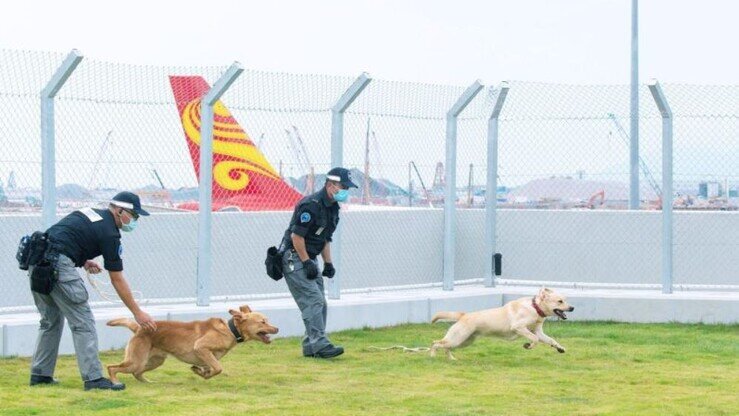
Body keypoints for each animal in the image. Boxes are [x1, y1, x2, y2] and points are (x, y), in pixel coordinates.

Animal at [430, 288, 576, 360]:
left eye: (565, 300)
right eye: (560, 301)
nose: (572, 307)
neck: (535, 308)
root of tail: (463, 315)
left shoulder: (538, 331)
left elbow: (551, 340)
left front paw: (560, 348)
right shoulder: (518, 327)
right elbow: (534, 339)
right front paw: (528, 345)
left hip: (464, 341)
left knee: (445, 347)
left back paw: (451, 359)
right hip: (458, 338)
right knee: (436, 343)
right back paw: (432, 356)